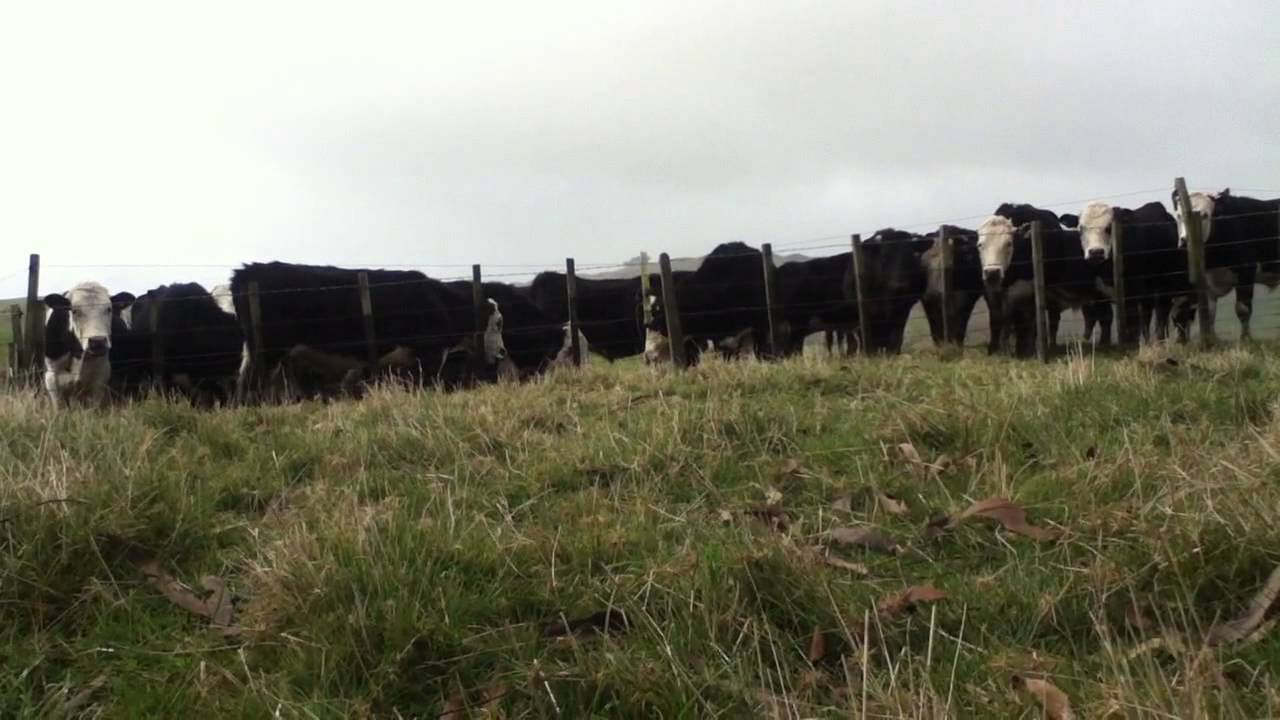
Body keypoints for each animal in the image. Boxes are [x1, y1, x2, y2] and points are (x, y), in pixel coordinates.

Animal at [230, 262, 507, 399]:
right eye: (498, 322)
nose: (503, 352)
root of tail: (246, 270)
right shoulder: (428, 355)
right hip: (268, 351)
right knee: (253, 383)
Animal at [1078, 200, 1190, 343]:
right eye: (1081, 228)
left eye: (1109, 227)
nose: (1096, 252)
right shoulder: (1098, 295)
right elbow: (1101, 318)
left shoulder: (1132, 293)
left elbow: (1132, 323)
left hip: (1164, 285)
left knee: (1162, 312)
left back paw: (1160, 340)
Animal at [1171, 190, 1280, 341]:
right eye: (1179, 215)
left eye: (1205, 215)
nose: (1184, 241)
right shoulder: (1207, 282)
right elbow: (1210, 314)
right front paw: (1213, 339)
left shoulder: (1246, 272)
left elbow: (1243, 309)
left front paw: (1246, 339)